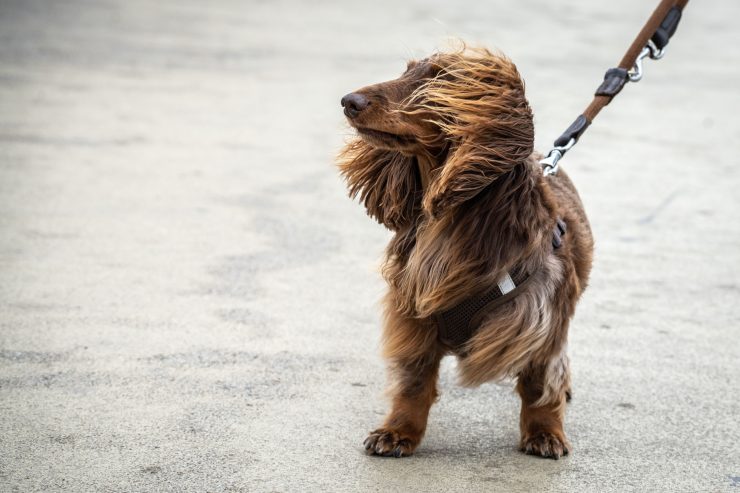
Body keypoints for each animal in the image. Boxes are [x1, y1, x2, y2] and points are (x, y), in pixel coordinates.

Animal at [338, 48, 592, 460]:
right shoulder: (412, 314)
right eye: (406, 72)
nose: (348, 101)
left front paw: (545, 433)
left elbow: (539, 386)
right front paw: (398, 432)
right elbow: (413, 384)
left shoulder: (541, 317)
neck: (452, 223)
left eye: (438, 79)